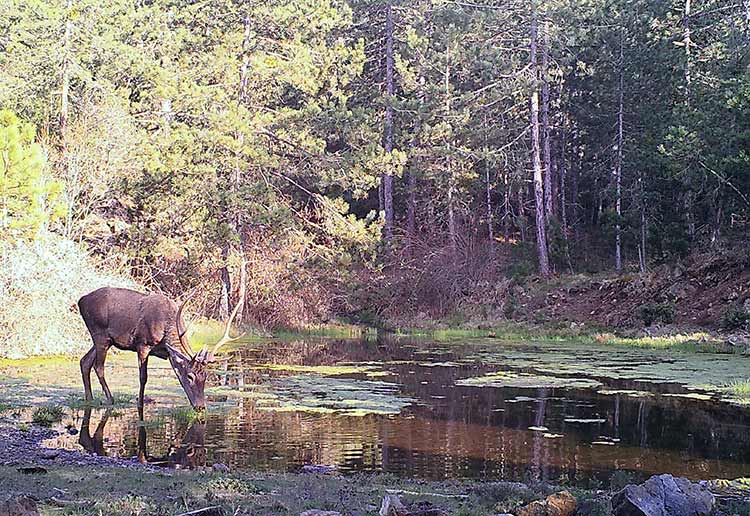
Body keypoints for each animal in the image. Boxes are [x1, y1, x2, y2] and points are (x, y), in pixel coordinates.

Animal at [78, 272, 245, 414]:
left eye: (205, 376)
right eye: (190, 376)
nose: (201, 407)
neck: (166, 327)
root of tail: (81, 301)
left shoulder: (168, 353)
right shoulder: (143, 343)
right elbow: (143, 377)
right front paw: (140, 404)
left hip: (104, 339)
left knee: (84, 361)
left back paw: (89, 398)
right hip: (100, 334)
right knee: (98, 366)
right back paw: (110, 399)